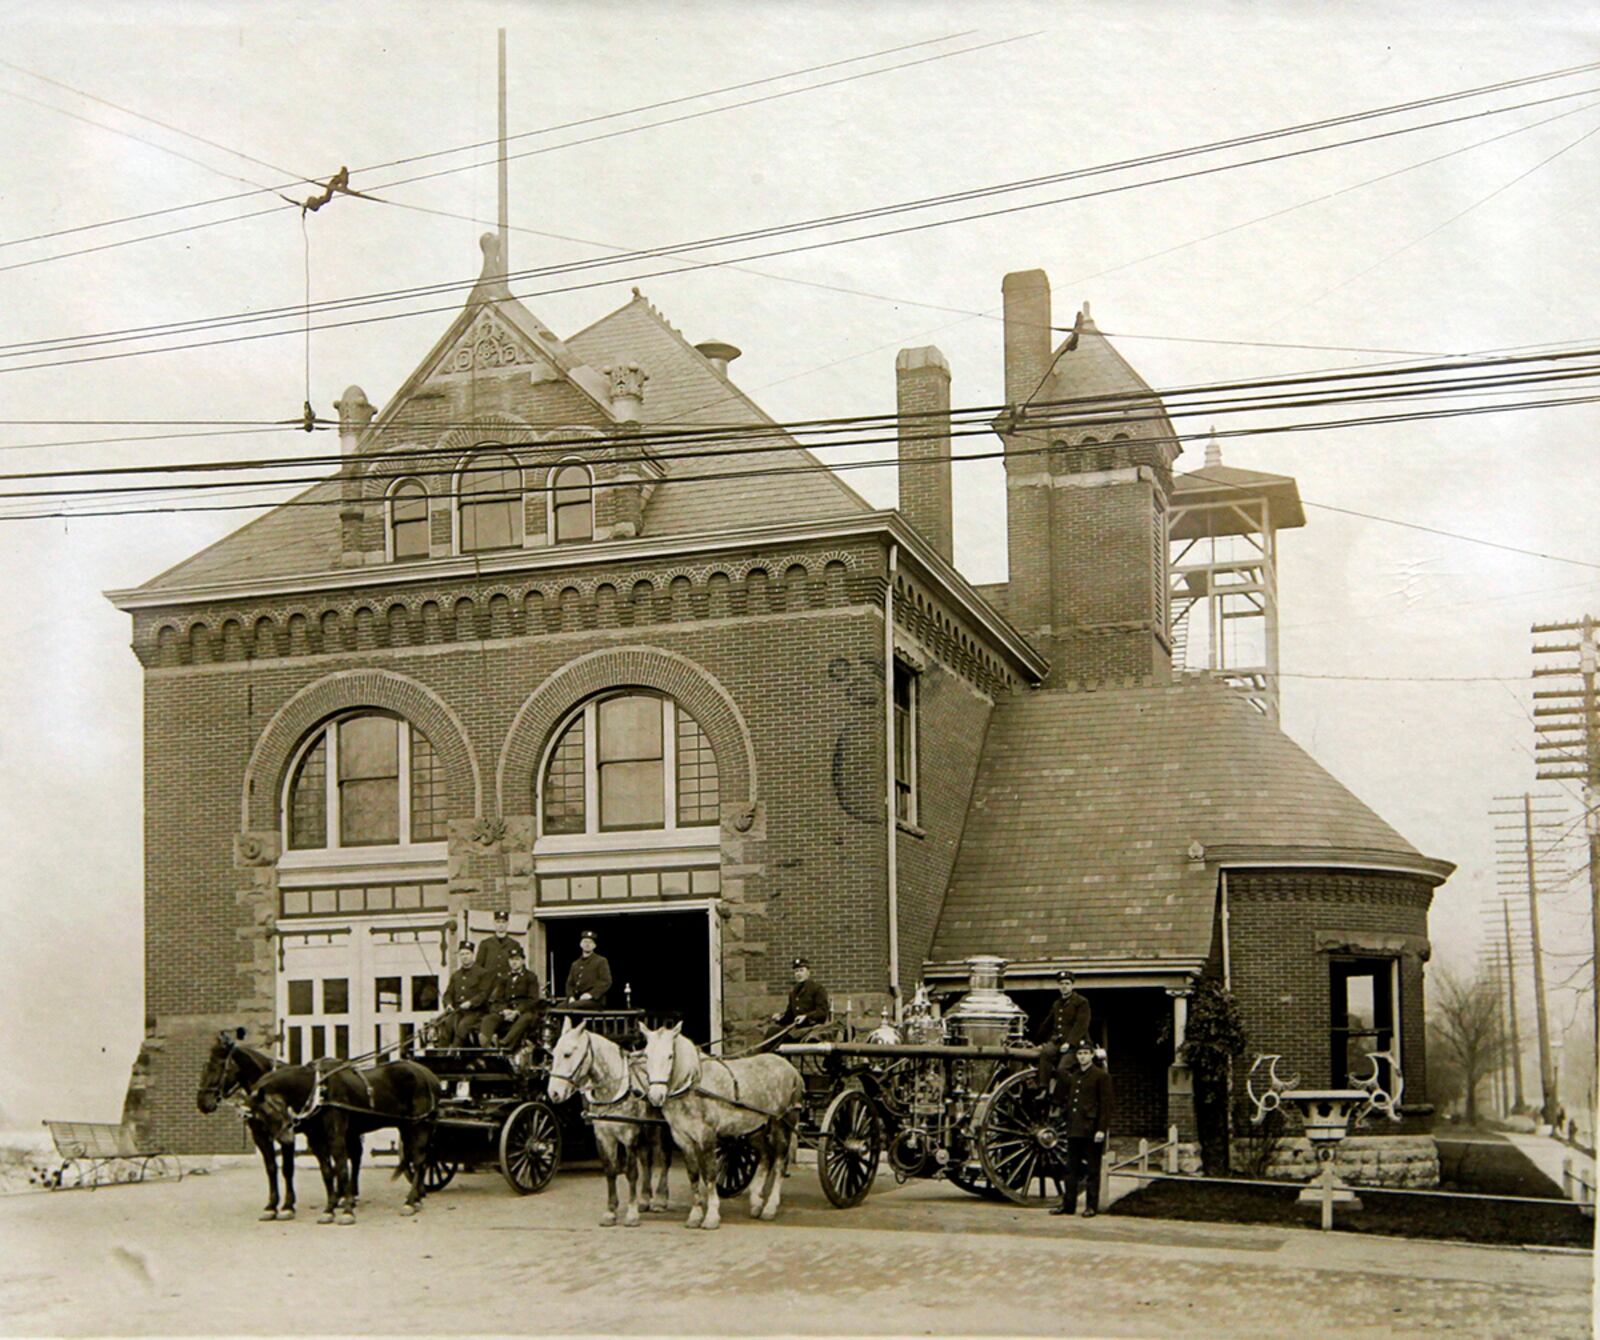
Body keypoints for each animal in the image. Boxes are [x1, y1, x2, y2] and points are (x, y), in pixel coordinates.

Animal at [196, 1029, 297, 1228]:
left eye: (217, 1067)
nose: (202, 1103)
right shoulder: (260, 1137)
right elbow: (271, 1168)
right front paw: (271, 1206)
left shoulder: (286, 1135)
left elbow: (287, 1168)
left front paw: (288, 1206)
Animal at [246, 1061, 441, 1228]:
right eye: (261, 1114)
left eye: (276, 1106)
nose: (288, 1137)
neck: (320, 1092)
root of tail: (427, 1075)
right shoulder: (316, 1140)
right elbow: (326, 1172)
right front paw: (329, 1209)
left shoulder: (336, 1136)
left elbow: (341, 1169)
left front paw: (347, 1211)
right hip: (407, 1127)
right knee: (417, 1158)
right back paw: (416, 1199)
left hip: (419, 1125)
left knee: (419, 1160)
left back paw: (410, 1202)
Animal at [544, 1016, 668, 1228]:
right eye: (553, 1054)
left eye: (568, 1054)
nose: (554, 1093)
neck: (614, 1090)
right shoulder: (603, 1137)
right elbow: (610, 1171)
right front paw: (610, 1212)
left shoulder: (628, 1136)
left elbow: (631, 1172)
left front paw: (632, 1213)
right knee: (647, 1160)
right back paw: (645, 1199)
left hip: (656, 1130)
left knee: (663, 1158)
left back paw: (660, 1199)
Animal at [643, 1023, 806, 1234]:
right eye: (646, 1055)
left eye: (670, 1056)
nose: (655, 1096)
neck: (694, 1084)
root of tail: (791, 1069)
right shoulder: (683, 1139)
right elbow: (694, 1176)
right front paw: (695, 1215)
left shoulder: (707, 1137)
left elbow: (710, 1175)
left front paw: (712, 1217)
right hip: (755, 1129)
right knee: (766, 1156)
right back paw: (756, 1202)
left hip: (782, 1124)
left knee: (779, 1162)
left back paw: (770, 1207)